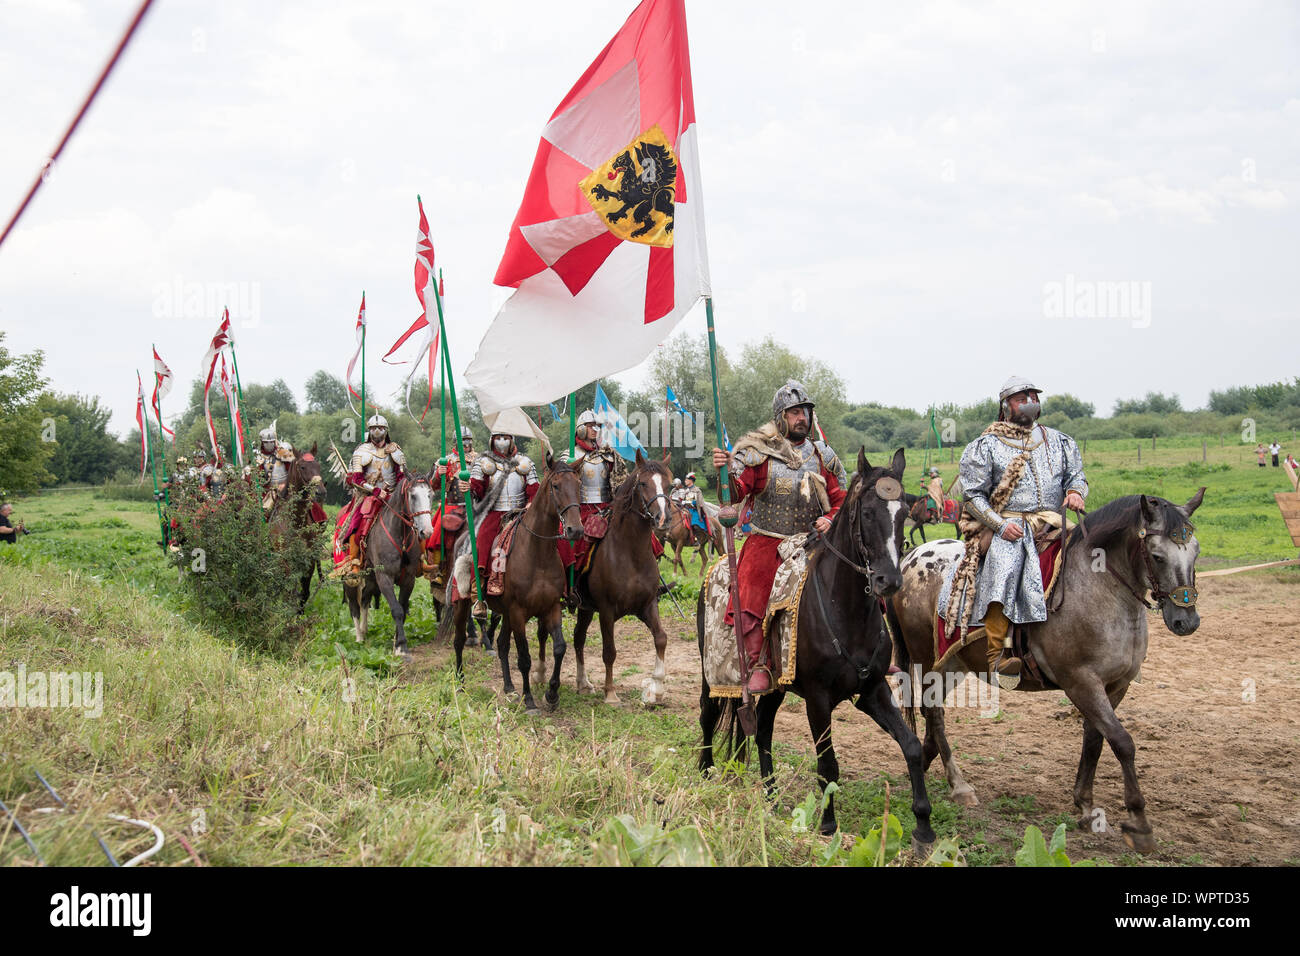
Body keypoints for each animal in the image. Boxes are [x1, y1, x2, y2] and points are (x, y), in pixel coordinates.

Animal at [343, 470, 434, 658]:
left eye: (431, 495)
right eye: (412, 495)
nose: (427, 531)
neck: (400, 535)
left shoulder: (408, 579)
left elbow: (402, 608)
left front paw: (396, 643)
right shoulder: (385, 578)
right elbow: (396, 610)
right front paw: (401, 646)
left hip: (370, 578)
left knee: (365, 600)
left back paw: (364, 630)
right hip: (351, 579)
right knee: (354, 606)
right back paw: (358, 637)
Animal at [452, 457, 585, 717]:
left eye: (577, 485)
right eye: (556, 486)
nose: (575, 530)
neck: (537, 554)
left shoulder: (551, 608)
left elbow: (559, 648)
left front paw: (551, 694)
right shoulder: (518, 612)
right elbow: (524, 657)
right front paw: (530, 701)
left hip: (505, 613)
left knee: (502, 645)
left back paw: (509, 688)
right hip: (463, 604)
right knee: (459, 640)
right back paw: (461, 685)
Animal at [559, 447, 676, 702]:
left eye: (670, 485)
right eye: (643, 483)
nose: (663, 519)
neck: (630, 552)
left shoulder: (647, 605)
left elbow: (661, 638)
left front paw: (657, 688)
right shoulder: (606, 610)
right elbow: (609, 651)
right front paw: (611, 693)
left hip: (585, 609)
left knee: (578, 637)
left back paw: (583, 683)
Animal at [702, 447, 935, 842]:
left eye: (903, 513)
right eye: (867, 513)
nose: (888, 581)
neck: (846, 608)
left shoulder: (872, 690)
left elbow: (912, 747)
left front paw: (923, 824)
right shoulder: (818, 698)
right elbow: (828, 762)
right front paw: (827, 825)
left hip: (777, 686)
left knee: (762, 730)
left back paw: (771, 795)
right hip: (711, 673)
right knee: (707, 715)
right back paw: (704, 774)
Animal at [883, 489, 1206, 858]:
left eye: (1195, 552)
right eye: (1157, 556)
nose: (1186, 620)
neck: (1098, 589)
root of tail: (910, 560)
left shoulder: (1115, 686)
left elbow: (1095, 739)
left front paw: (1085, 806)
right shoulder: (1081, 683)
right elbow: (1123, 743)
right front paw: (1138, 822)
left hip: (953, 663)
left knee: (931, 712)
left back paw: (926, 760)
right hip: (925, 660)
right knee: (933, 713)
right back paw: (958, 784)